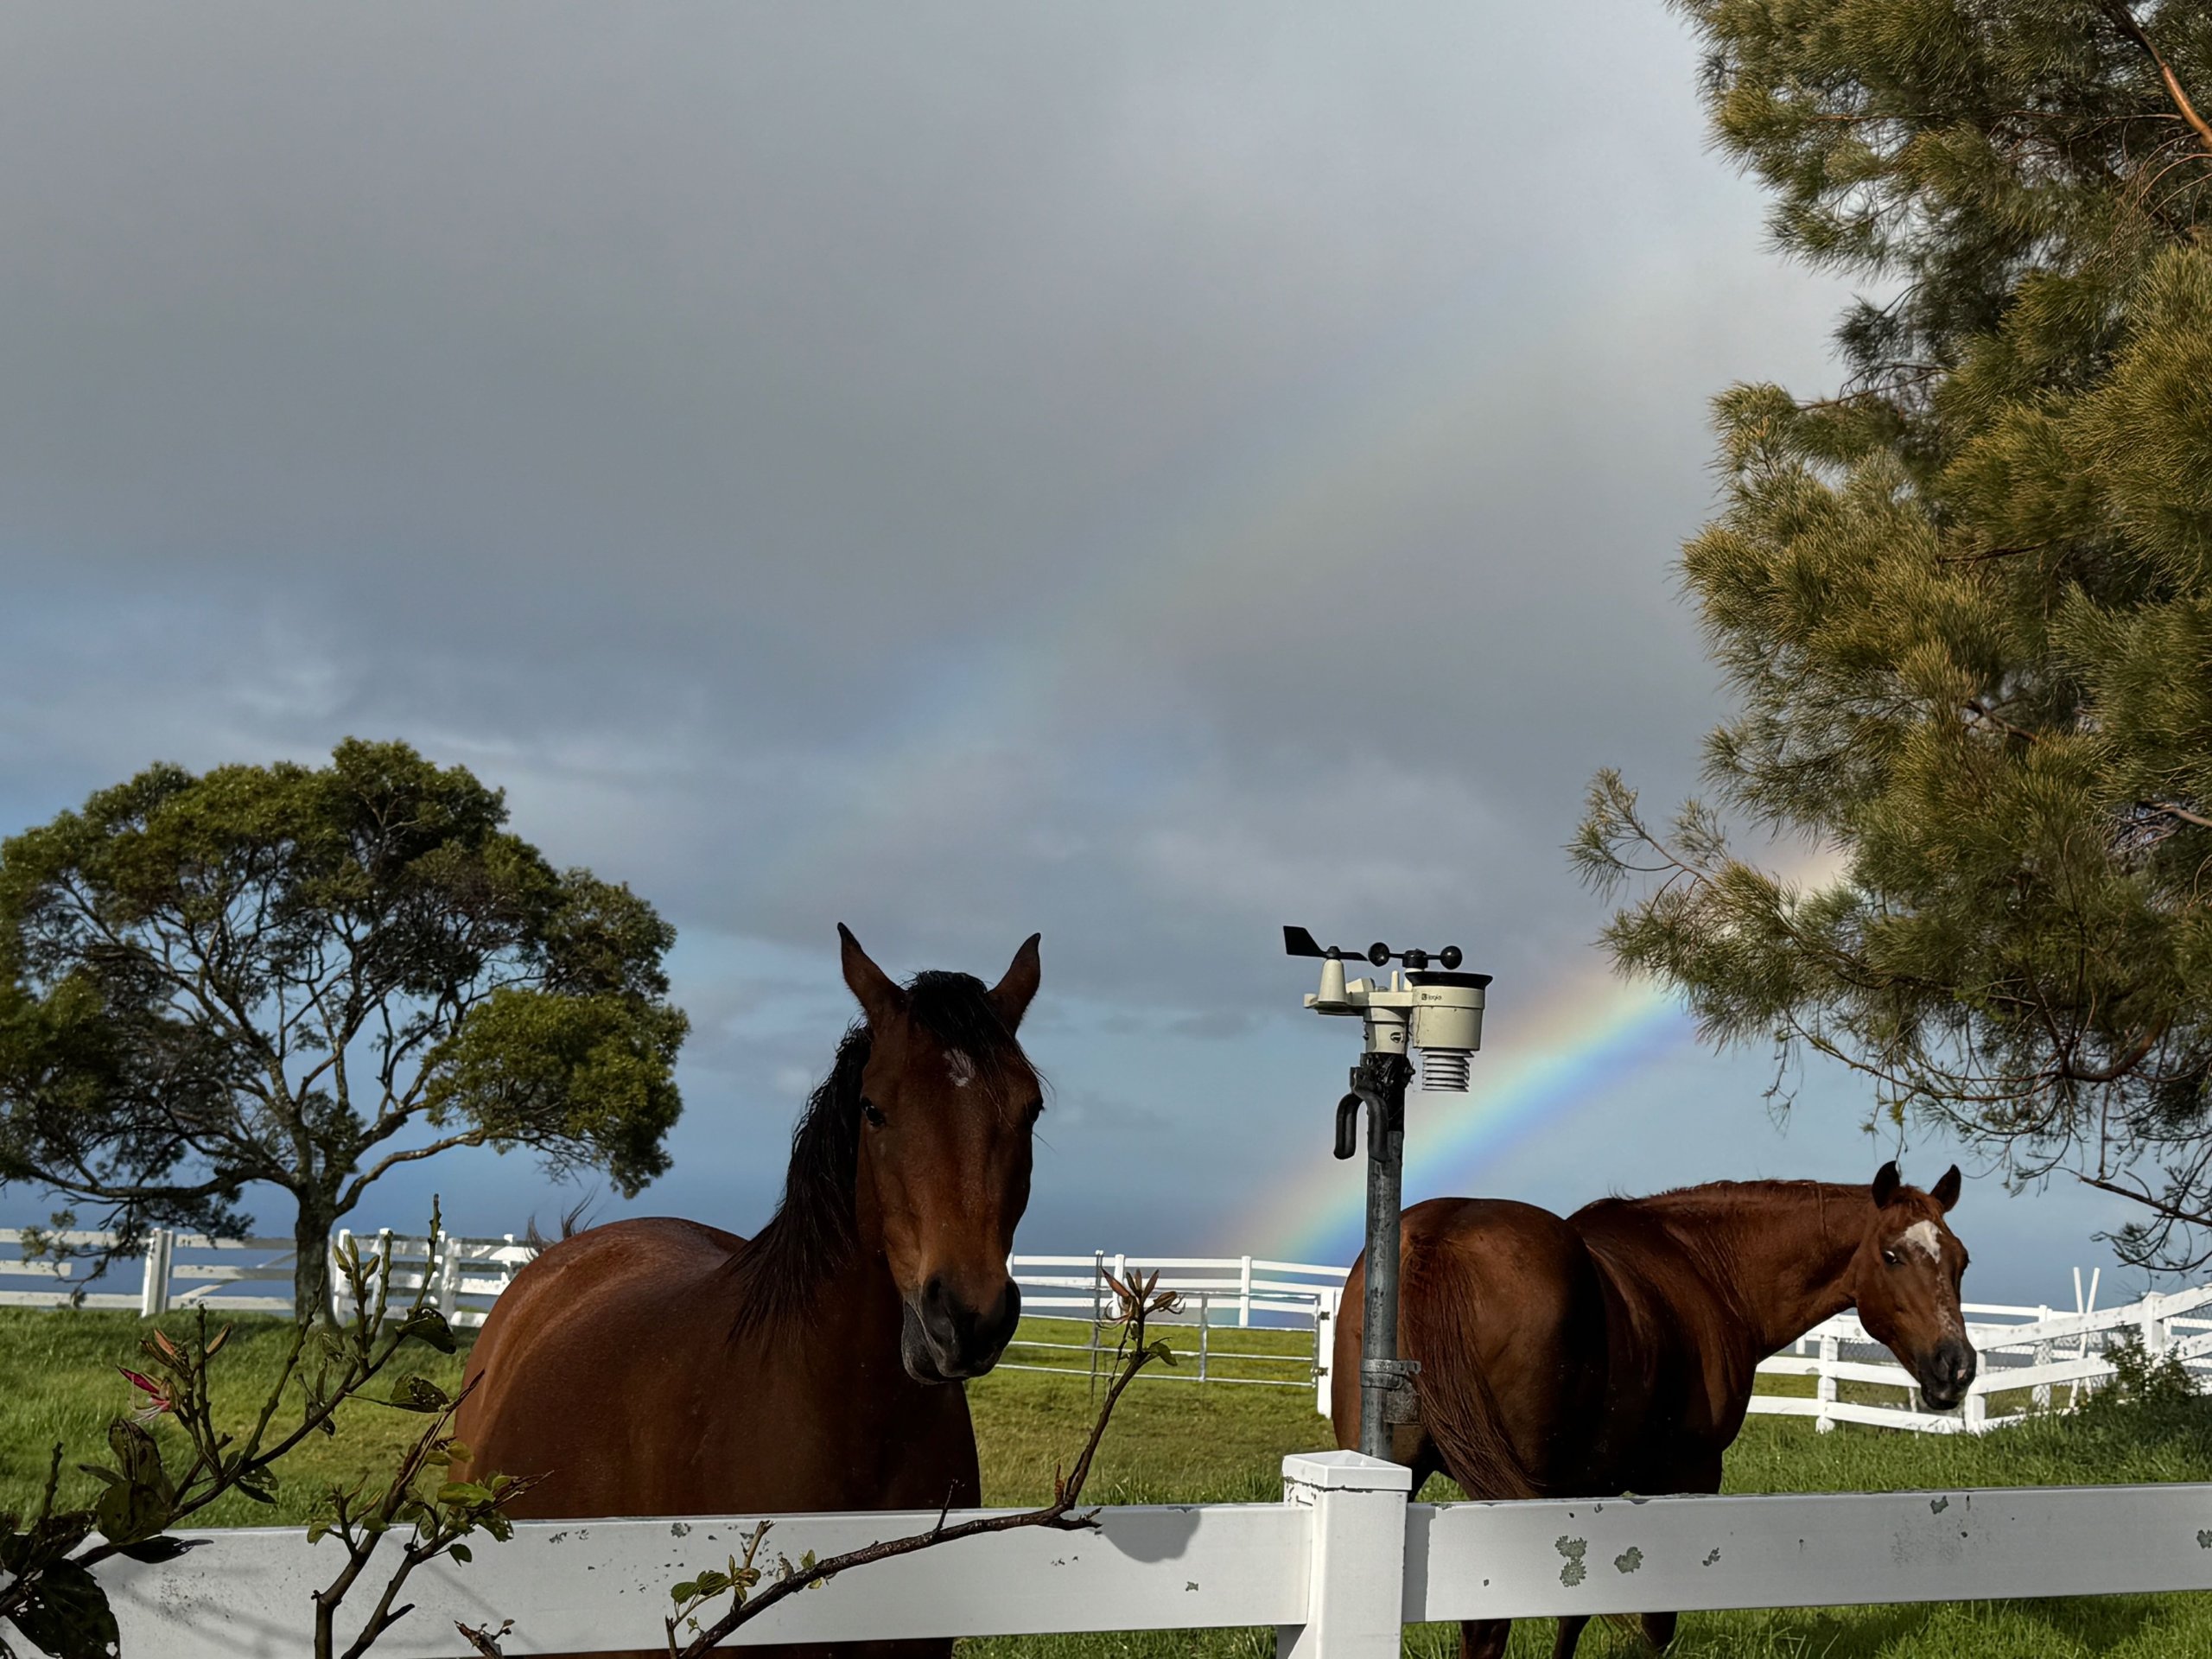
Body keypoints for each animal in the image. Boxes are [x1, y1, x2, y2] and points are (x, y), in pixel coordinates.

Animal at [1332, 1162, 1976, 1659]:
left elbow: (1575, 1614)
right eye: (1892, 1255)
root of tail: (1438, 1238)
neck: (1708, 1269)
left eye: (1961, 1260)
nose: (1958, 1367)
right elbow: (1655, 1622)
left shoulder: (1587, 1488)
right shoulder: (1686, 1477)